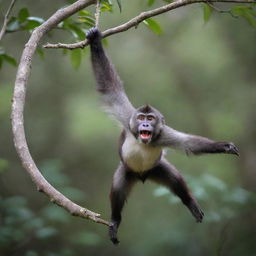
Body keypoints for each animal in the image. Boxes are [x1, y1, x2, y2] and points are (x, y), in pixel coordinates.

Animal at [86, 27, 240, 245]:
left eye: (150, 119)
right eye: (141, 117)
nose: (145, 124)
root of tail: (142, 176)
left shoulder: (163, 134)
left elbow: (188, 144)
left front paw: (223, 146)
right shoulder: (128, 118)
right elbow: (110, 88)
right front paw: (95, 41)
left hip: (157, 169)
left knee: (174, 178)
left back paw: (189, 201)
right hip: (127, 171)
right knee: (118, 188)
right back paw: (115, 220)